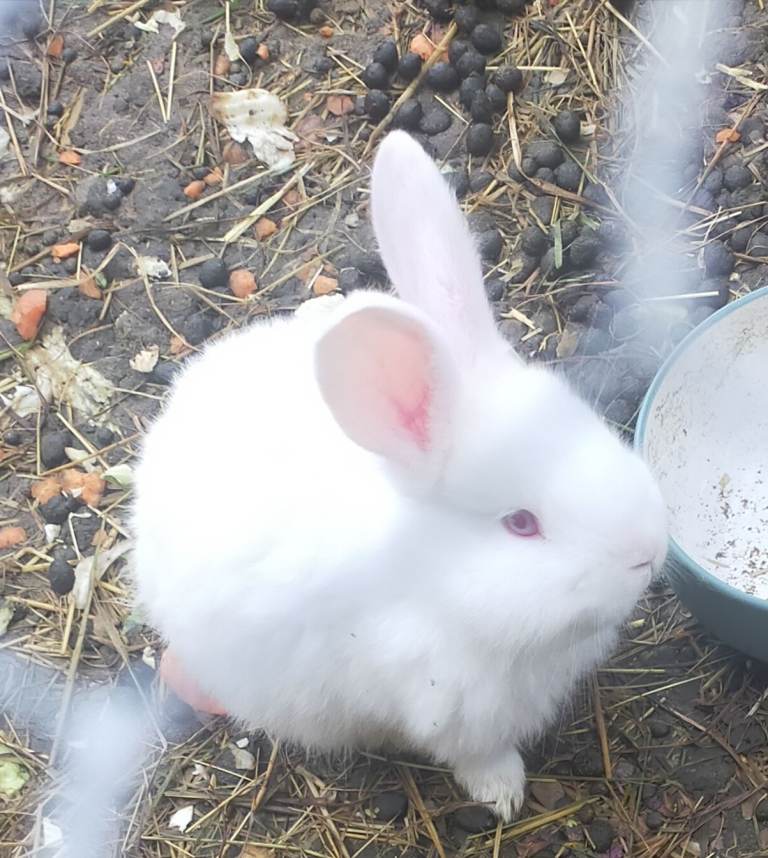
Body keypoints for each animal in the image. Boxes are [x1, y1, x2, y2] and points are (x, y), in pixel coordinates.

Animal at [132, 130, 668, 820]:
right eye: (522, 524)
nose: (649, 552)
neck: (435, 584)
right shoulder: (447, 706)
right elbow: (479, 755)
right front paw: (504, 796)